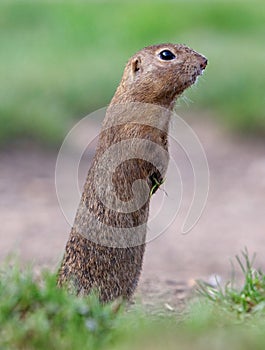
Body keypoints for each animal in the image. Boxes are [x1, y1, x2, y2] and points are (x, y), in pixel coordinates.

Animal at [57, 43, 206, 300]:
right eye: (166, 54)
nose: (204, 61)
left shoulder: (163, 137)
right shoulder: (140, 135)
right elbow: (148, 159)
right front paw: (154, 181)